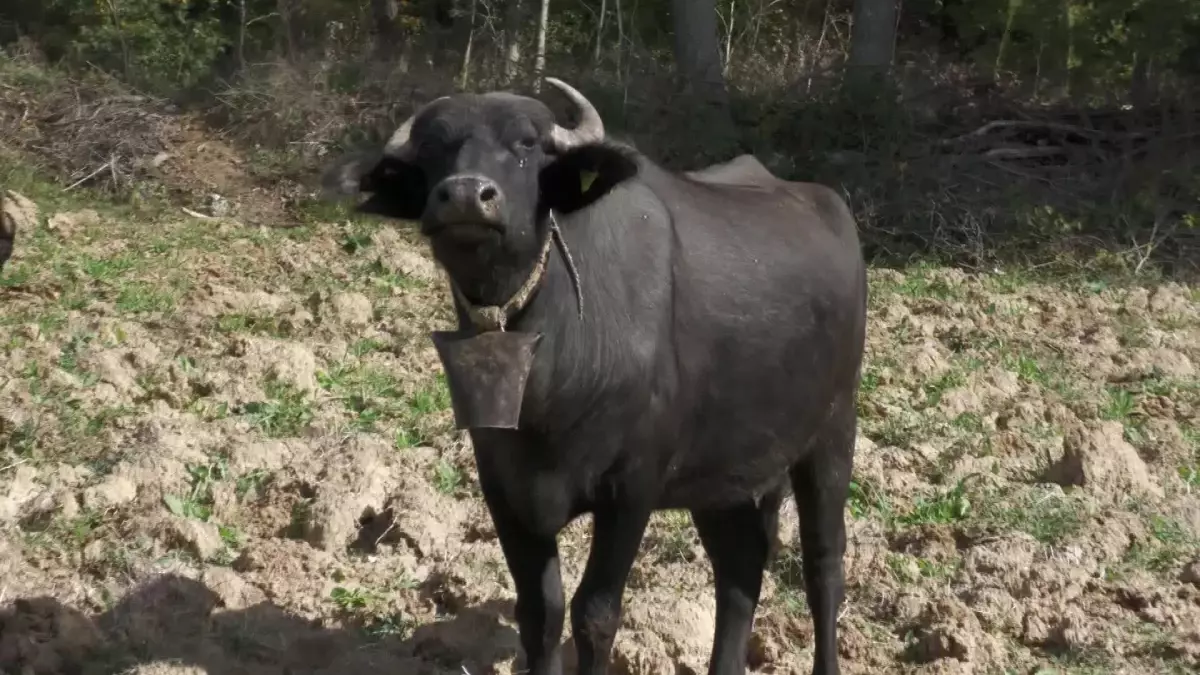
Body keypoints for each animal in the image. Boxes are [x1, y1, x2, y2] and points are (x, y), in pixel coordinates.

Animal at [324, 77, 868, 672]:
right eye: (432, 148)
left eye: (527, 144)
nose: (467, 195)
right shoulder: (503, 485)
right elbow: (540, 612)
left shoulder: (632, 487)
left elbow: (595, 613)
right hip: (727, 471)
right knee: (740, 566)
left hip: (832, 432)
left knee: (824, 565)